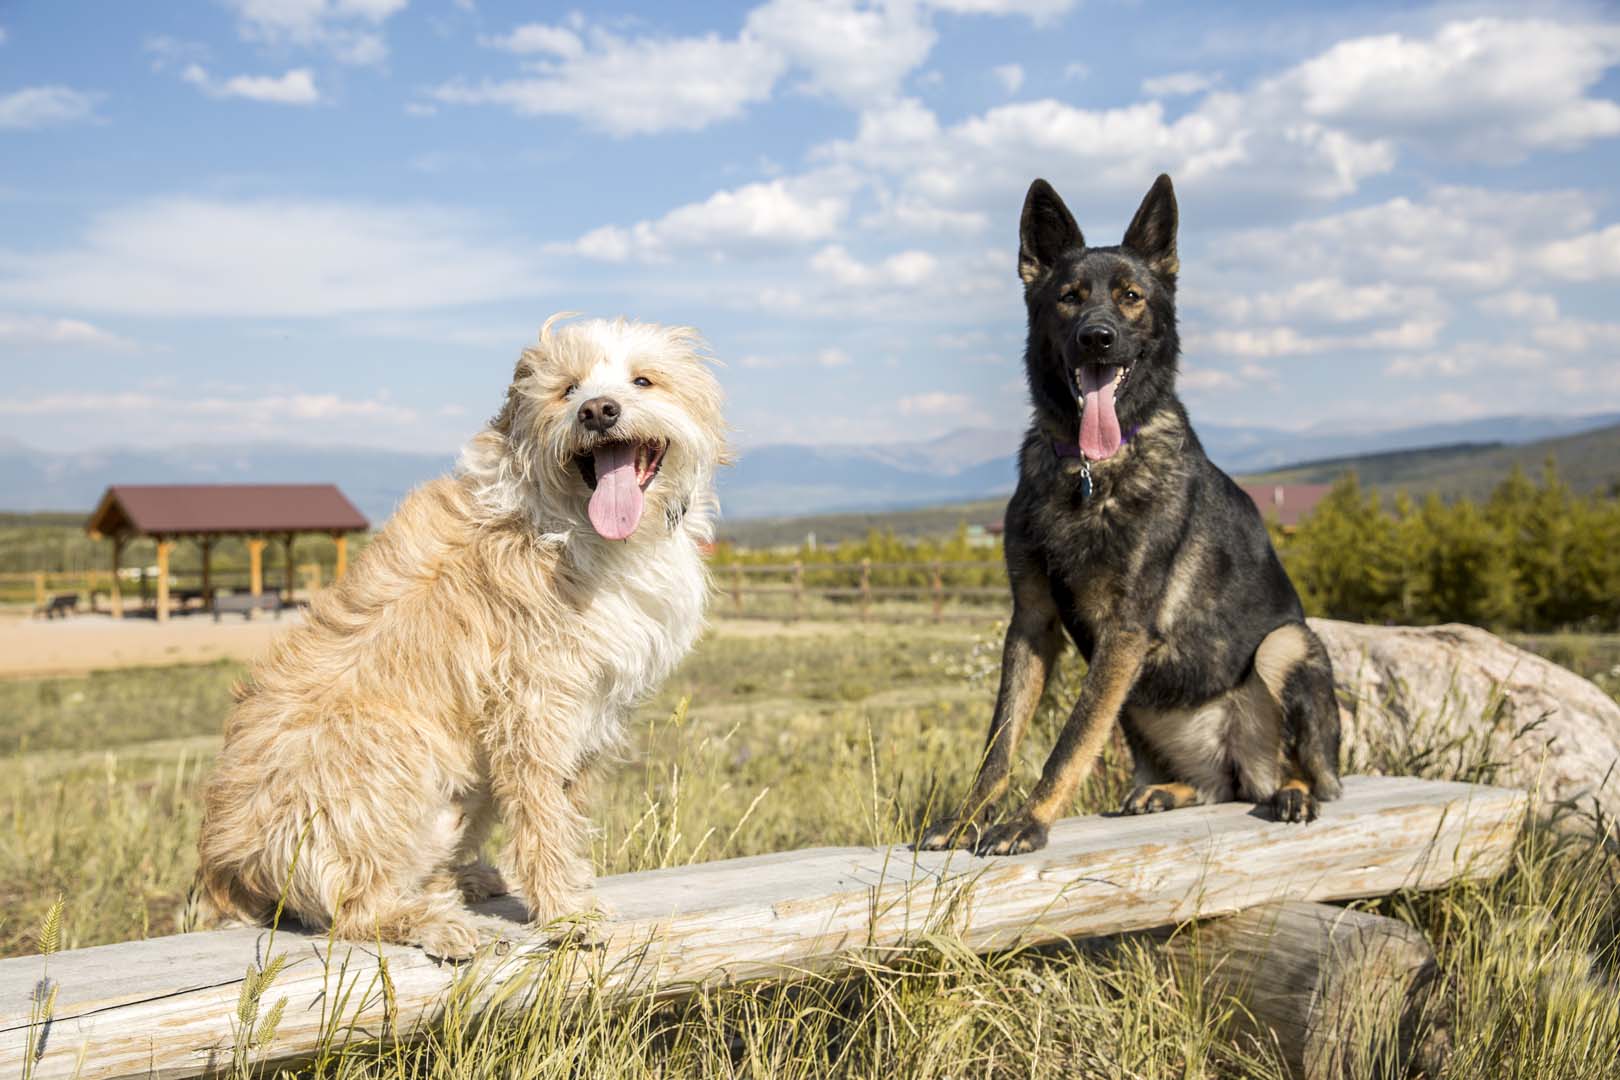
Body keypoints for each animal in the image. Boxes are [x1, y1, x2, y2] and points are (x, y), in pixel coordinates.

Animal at [194, 317, 722, 958]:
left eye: (643, 380)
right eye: (567, 389)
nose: (598, 410)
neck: (567, 527)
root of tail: (227, 866)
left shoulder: (590, 711)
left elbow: (564, 809)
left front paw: (570, 891)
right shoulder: (530, 707)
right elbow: (542, 815)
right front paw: (567, 914)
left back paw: (457, 882)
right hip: (386, 748)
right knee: (351, 910)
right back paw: (435, 922)